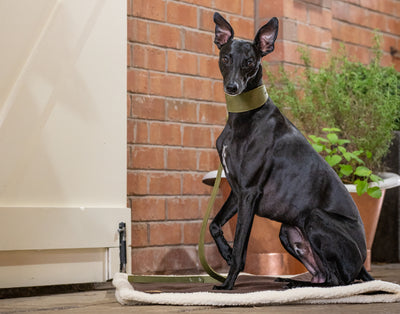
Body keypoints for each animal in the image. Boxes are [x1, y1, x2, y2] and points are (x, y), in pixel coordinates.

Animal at [208, 13, 374, 290]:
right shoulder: (236, 190)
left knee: (338, 281)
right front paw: (227, 253)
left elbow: (242, 245)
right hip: (288, 230)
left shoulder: (249, 193)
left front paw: (228, 282)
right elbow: (214, 225)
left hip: (315, 217)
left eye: (250, 61)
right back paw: (295, 282)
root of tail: (362, 263)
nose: (232, 87)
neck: (244, 114)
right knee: (324, 275)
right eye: (226, 58)